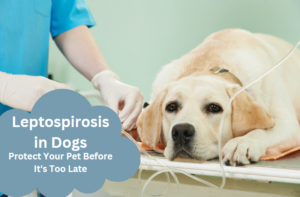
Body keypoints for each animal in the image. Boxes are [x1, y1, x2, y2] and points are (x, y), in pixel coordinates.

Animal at [137, 28, 300, 165]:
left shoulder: (290, 125)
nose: (181, 132)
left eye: (214, 108)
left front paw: (242, 142)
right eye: (171, 107)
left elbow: (261, 130)